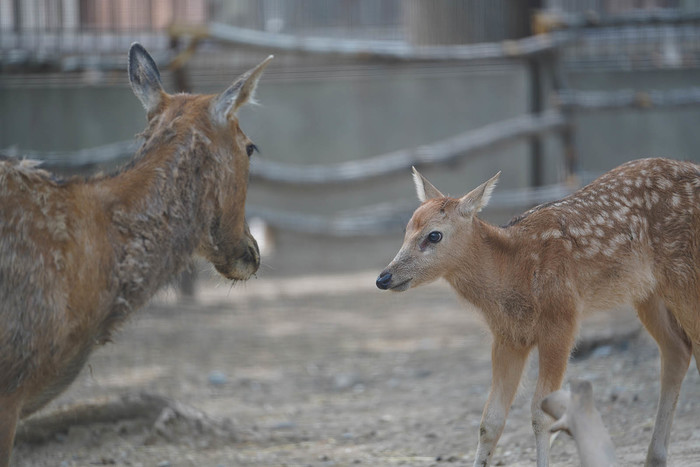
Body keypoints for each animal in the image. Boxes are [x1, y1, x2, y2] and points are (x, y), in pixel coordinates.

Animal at [378, 158, 700, 467]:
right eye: (406, 229)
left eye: (434, 236)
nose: (384, 277)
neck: (513, 270)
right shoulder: (508, 337)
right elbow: (490, 420)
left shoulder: (562, 319)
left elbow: (541, 413)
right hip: (649, 293)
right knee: (677, 351)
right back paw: (654, 458)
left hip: (685, 276)